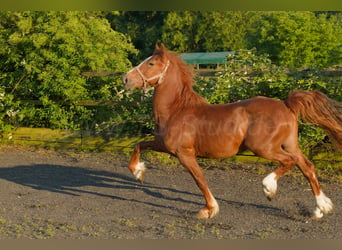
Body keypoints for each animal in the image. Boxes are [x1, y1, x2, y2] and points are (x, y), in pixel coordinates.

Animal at [123, 44, 342, 219]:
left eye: (151, 64)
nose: (126, 79)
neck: (176, 110)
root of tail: (286, 104)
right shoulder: (162, 145)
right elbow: (139, 146)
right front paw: (139, 172)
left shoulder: (184, 153)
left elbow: (200, 180)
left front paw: (209, 210)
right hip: (288, 144)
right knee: (307, 167)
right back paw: (320, 209)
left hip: (263, 148)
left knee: (291, 161)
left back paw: (269, 188)